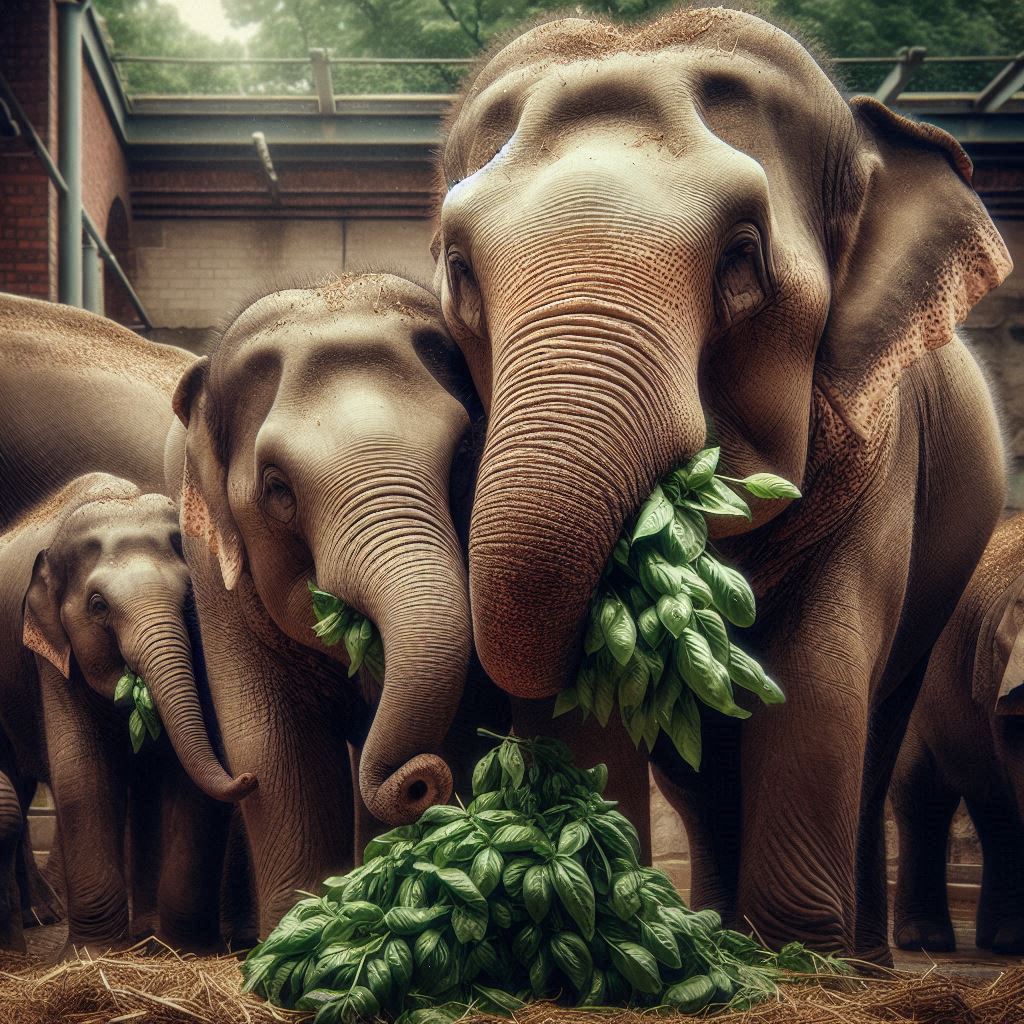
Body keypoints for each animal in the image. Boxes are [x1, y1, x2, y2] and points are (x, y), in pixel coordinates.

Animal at [0, 473, 258, 950]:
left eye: (190, 598)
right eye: (98, 606)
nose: (250, 777)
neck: (120, 501)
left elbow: (189, 777)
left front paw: (183, 948)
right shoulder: (52, 656)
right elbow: (82, 774)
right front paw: (93, 951)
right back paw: (42, 917)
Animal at [167, 274, 507, 937]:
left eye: (463, 455)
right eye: (276, 488)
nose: (418, 784)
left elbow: (463, 717)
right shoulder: (214, 575)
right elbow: (272, 746)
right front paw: (293, 935)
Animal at [430, 6, 1007, 958]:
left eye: (742, 258)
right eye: (460, 273)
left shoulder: (886, 447)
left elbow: (819, 674)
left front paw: (798, 956)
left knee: (878, 733)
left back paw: (860, 958)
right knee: (698, 767)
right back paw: (715, 927)